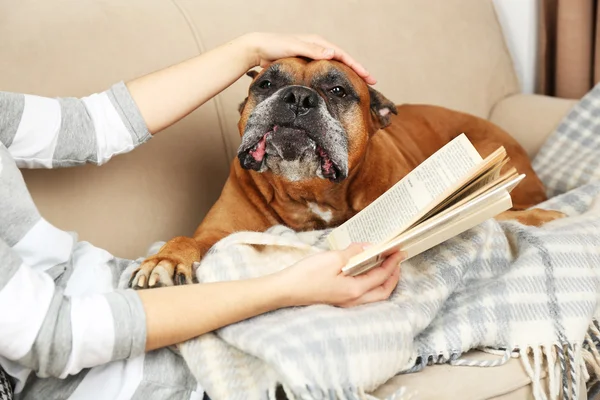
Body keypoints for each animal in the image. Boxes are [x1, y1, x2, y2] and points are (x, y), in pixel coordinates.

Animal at [129, 57, 564, 288]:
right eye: (266, 82)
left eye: (338, 91)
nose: (297, 97)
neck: (309, 190)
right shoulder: (217, 233)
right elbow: (187, 238)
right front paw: (165, 260)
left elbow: (502, 214)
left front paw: (545, 218)